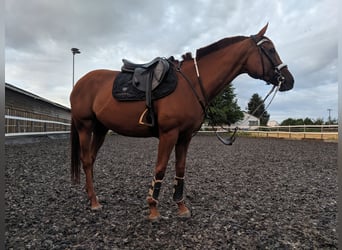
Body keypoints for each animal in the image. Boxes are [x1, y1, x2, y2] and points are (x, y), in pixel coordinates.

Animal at [69, 24, 294, 221]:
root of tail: (80, 83)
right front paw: (153, 209)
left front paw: (181, 206)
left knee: (91, 160)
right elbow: (160, 168)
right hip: (85, 126)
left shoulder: (185, 137)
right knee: (86, 160)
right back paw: (94, 202)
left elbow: (180, 169)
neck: (191, 84)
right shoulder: (169, 134)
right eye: (270, 49)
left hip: (100, 129)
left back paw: (92, 196)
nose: (289, 80)